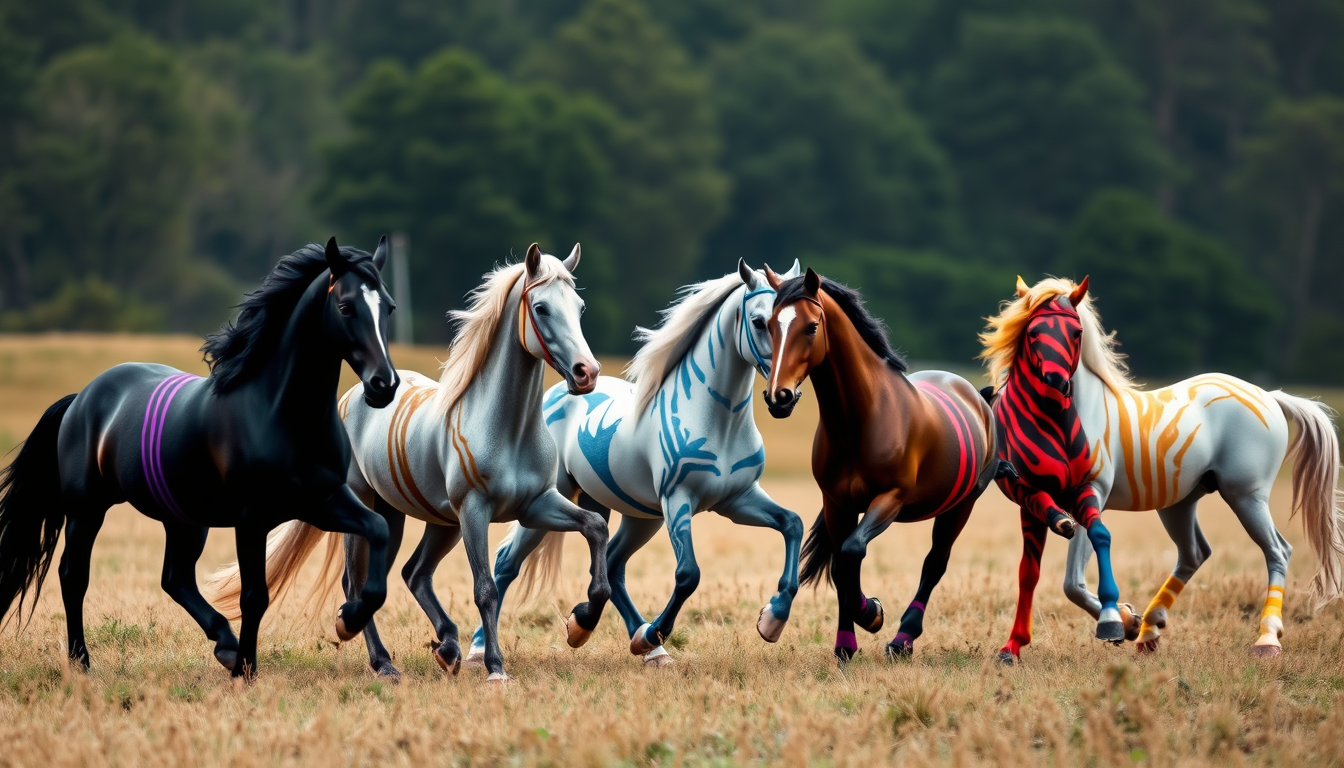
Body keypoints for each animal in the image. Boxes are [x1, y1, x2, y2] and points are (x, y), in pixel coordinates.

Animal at [0, 238, 399, 679]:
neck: (281, 413)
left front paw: (347, 621)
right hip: (87, 510)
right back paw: (82, 661)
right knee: (74, 576)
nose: (384, 385)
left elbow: (378, 532)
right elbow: (254, 596)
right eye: (345, 306)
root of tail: (82, 398)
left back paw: (223, 644)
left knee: (175, 579)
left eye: (389, 307)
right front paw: (246, 670)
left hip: (185, 519)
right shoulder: (252, 517)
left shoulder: (323, 501)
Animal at [207, 244, 611, 682]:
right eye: (541, 308)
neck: (507, 428)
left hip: (419, 519)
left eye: (580, 307)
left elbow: (596, 527)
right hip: (374, 506)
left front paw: (580, 624)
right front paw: (496, 669)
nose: (586, 373)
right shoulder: (475, 512)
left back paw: (446, 648)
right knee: (358, 582)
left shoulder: (536, 505)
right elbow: (485, 588)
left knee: (412, 573)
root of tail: (354, 396)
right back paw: (376, 655)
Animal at [470, 259, 806, 667]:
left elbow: (792, 524)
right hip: (551, 502)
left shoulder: (738, 500)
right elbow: (688, 574)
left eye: (804, 323)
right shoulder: (678, 501)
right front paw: (651, 632)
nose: (785, 397)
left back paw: (619, 637)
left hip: (637, 515)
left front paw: (772, 619)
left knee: (611, 564)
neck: (716, 420)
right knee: (507, 562)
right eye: (759, 322)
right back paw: (480, 649)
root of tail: (554, 395)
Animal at [763, 268, 998, 662]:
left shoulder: (890, 498)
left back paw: (902, 640)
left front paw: (871, 613)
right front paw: (845, 644)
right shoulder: (838, 503)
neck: (861, 418)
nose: (777, 397)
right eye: (767, 325)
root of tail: (979, 399)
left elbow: (853, 551)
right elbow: (841, 565)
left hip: (961, 505)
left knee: (935, 563)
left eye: (811, 327)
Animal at [981, 276, 1344, 660]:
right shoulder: (1030, 499)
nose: (1057, 384)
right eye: (1032, 331)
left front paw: (1118, 620)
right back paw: (1150, 629)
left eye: (1077, 332)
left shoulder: (1091, 491)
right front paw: (1013, 647)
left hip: (1246, 494)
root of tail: (1269, 394)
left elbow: (1072, 582)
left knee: (1278, 550)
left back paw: (1267, 639)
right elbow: (1030, 574)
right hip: (1180, 502)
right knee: (1195, 552)